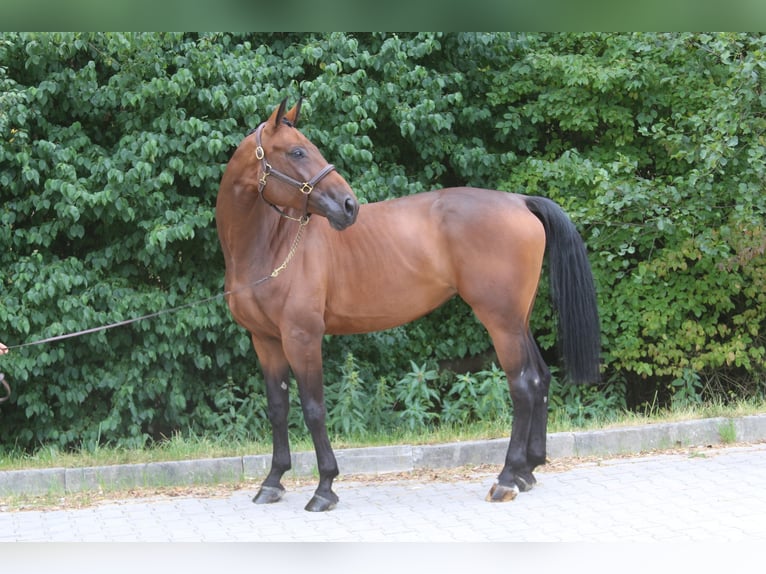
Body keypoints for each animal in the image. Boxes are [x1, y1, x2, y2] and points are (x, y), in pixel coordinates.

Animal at [215, 98, 601, 512]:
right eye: (297, 151)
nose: (348, 206)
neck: (272, 245)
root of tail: (520, 201)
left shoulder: (302, 337)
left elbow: (314, 408)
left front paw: (324, 488)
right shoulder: (266, 340)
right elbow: (278, 408)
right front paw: (272, 481)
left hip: (501, 323)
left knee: (524, 385)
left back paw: (507, 478)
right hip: (518, 320)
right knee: (541, 377)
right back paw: (528, 471)